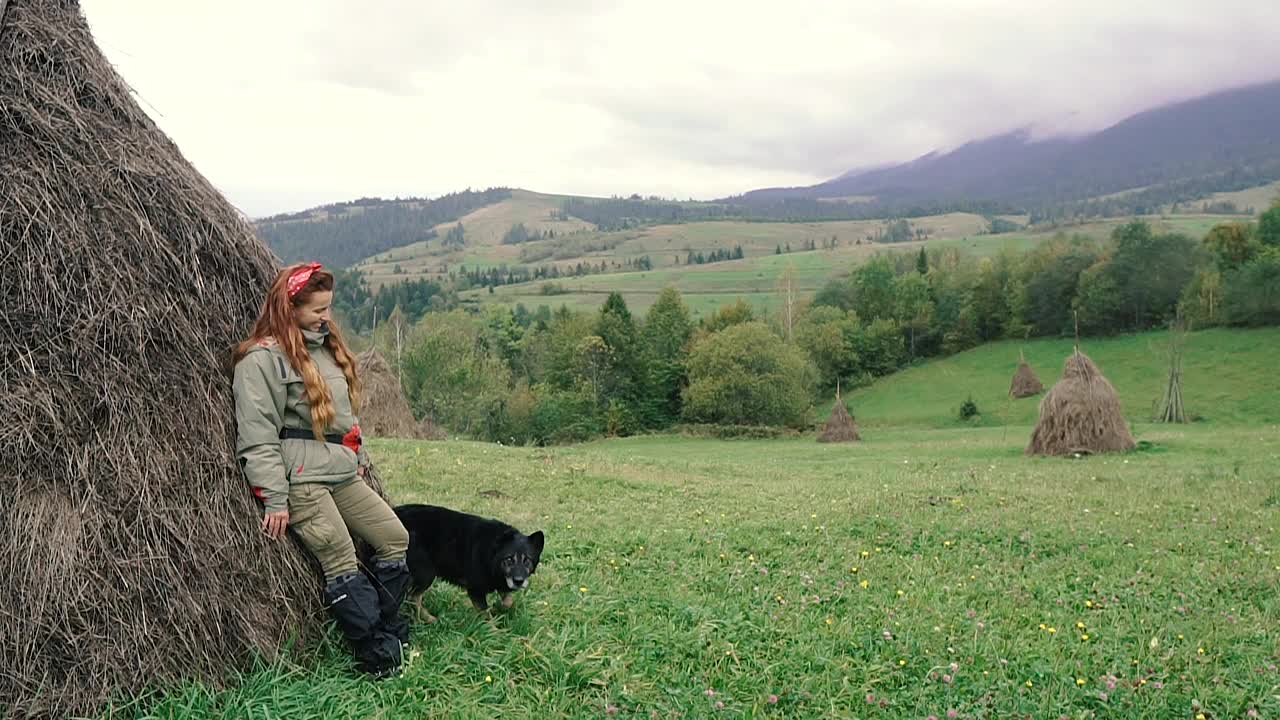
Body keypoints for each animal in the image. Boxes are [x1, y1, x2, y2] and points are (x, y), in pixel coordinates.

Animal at [394, 502, 545, 620]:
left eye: (527, 560)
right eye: (509, 559)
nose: (519, 581)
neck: (491, 552)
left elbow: (508, 601)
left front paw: (501, 607)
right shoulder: (475, 589)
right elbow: (486, 615)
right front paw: (495, 632)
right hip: (426, 571)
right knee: (412, 598)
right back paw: (429, 619)